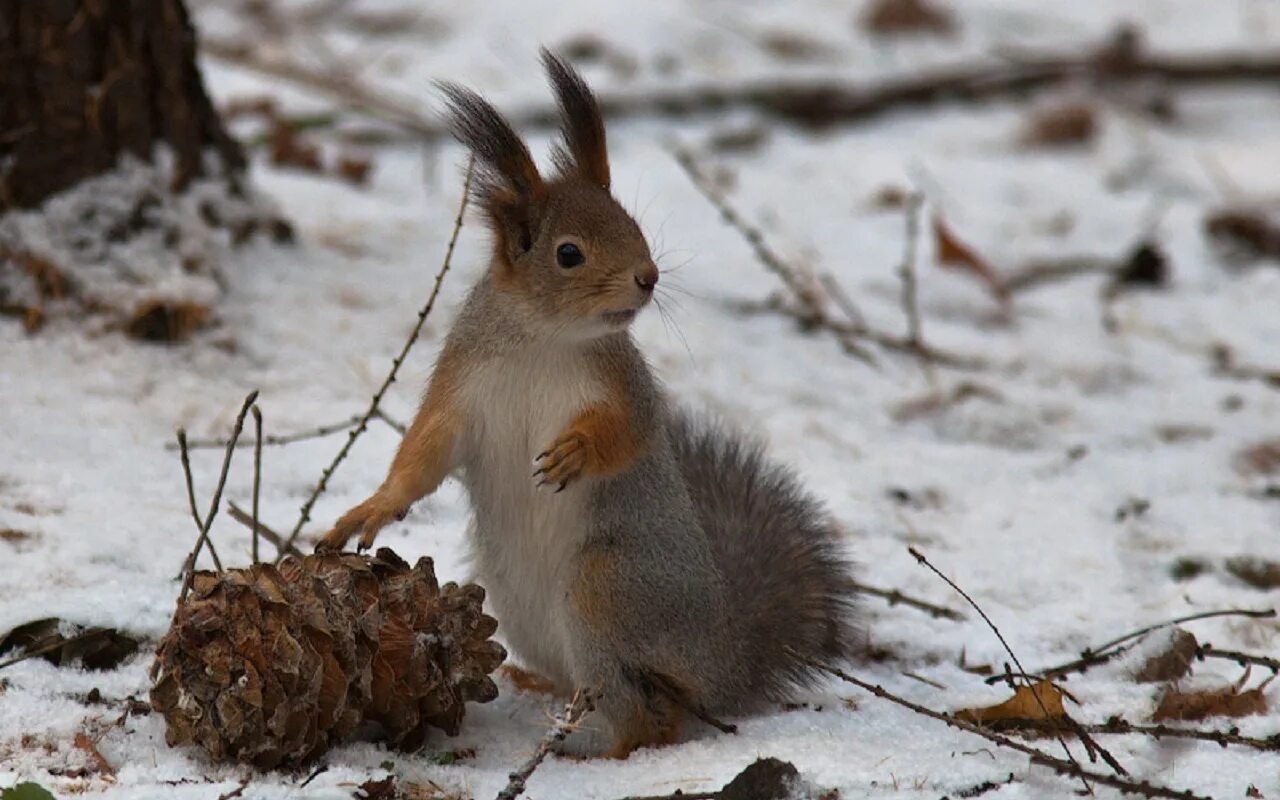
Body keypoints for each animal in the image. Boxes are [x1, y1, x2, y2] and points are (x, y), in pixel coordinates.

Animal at [318, 49, 860, 752]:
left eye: (633, 226)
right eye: (568, 253)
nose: (647, 278)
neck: (544, 338)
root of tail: (727, 658)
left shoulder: (624, 386)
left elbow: (627, 434)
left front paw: (576, 452)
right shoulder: (460, 388)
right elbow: (425, 454)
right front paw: (374, 507)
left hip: (609, 588)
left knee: (653, 716)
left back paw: (612, 751)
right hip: (520, 604)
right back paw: (540, 689)